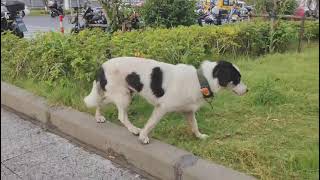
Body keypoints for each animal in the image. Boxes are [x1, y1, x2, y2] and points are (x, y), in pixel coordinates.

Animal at [84, 57, 248, 144]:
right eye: (237, 79)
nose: (247, 90)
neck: (201, 80)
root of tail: (102, 66)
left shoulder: (188, 111)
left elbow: (194, 126)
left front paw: (199, 136)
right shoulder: (161, 107)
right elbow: (151, 124)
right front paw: (143, 136)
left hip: (122, 93)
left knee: (100, 101)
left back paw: (98, 117)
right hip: (123, 96)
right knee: (121, 116)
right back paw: (134, 129)